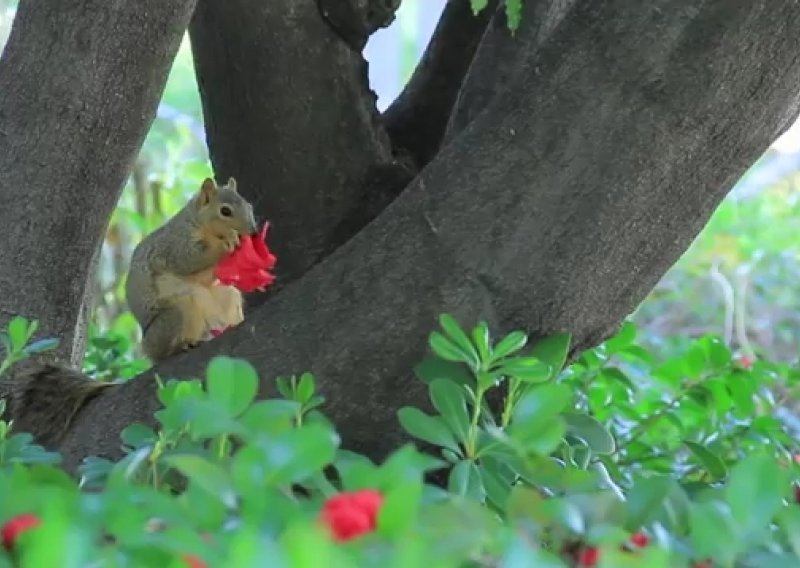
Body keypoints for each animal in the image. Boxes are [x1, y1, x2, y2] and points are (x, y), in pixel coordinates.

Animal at [125, 178, 258, 362]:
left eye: (249, 206)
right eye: (225, 211)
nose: (253, 231)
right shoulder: (176, 245)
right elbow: (189, 259)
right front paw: (230, 239)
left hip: (229, 297)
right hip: (177, 314)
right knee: (163, 352)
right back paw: (181, 346)